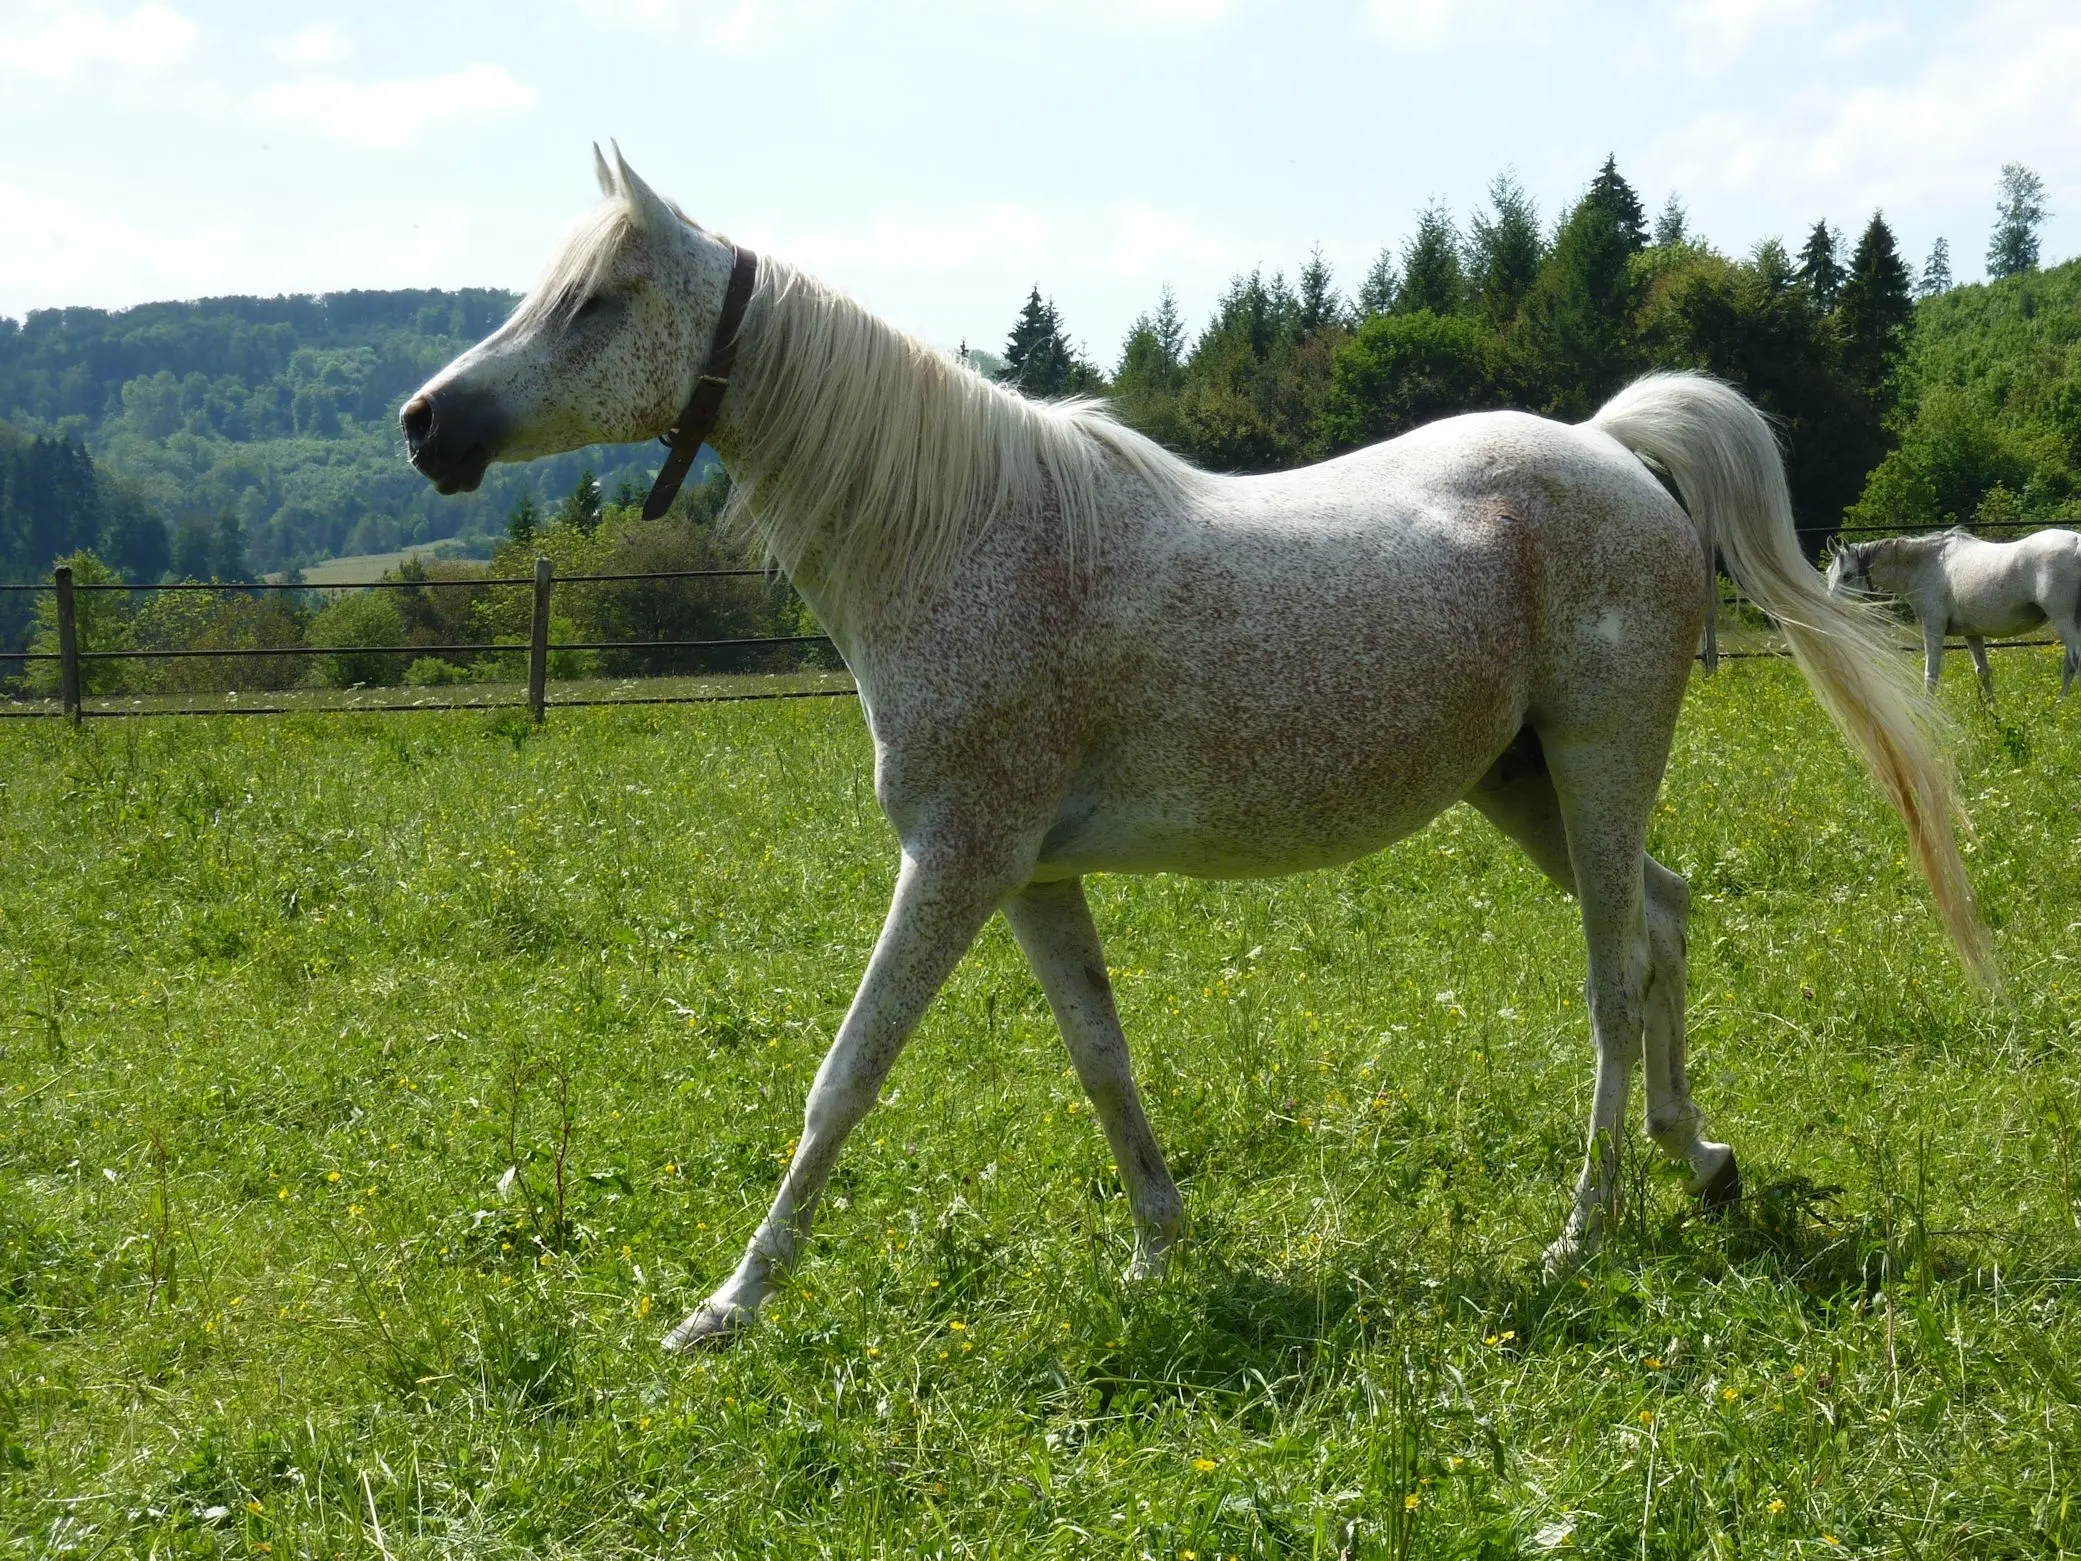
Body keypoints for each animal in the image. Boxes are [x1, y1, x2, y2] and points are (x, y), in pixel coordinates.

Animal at [1831, 526, 2081, 695]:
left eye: (1847, 576)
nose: (1831, 606)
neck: (1927, 564)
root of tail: (2077, 542)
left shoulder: (1933, 627)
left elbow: (1931, 675)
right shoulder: (1972, 633)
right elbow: (1983, 672)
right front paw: (1993, 717)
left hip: (2064, 621)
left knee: (2073, 662)